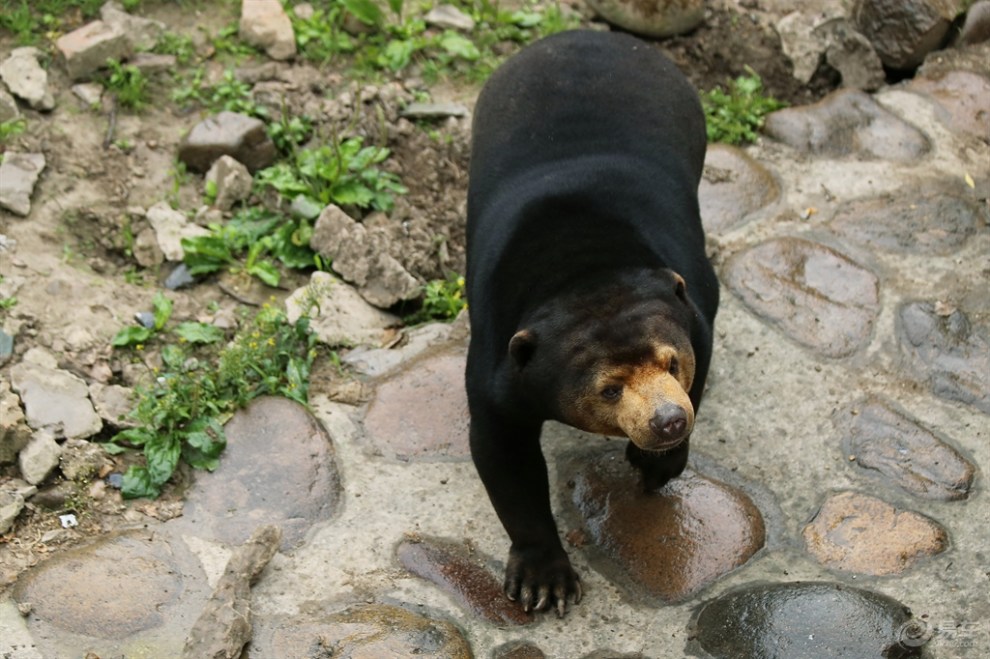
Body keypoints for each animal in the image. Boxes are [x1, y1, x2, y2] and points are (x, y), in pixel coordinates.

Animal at [464, 29, 720, 620]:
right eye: (609, 389)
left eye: (671, 362)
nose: (668, 421)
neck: (582, 267)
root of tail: (588, 34)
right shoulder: (496, 359)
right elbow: (503, 452)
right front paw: (544, 582)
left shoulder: (697, 305)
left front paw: (656, 465)